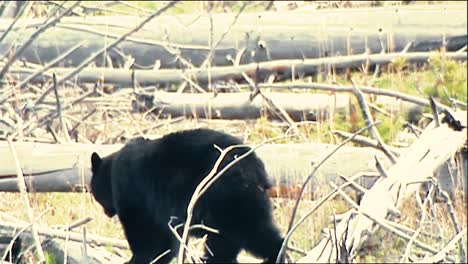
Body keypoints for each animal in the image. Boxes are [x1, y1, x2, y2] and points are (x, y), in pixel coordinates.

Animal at [89, 127, 284, 262]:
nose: (107, 212)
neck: (112, 172)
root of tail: (256, 166)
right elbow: (166, 240)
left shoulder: (135, 196)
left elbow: (146, 235)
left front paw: (138, 258)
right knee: (223, 244)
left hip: (229, 197)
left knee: (254, 231)